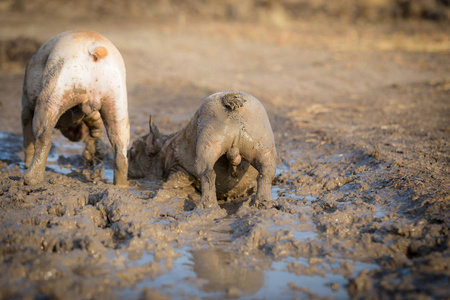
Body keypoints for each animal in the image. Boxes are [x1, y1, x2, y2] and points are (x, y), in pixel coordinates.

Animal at [21, 29, 129, 185]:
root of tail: (96, 48)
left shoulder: (26, 103)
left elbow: (27, 133)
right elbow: (96, 126)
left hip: (56, 89)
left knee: (43, 135)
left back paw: (28, 180)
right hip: (117, 101)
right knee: (120, 146)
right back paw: (121, 186)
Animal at [127, 90, 278, 210]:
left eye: (132, 149)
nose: (127, 155)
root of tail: (227, 98)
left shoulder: (178, 168)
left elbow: (171, 184)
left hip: (206, 145)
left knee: (207, 174)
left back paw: (206, 206)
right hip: (260, 141)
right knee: (266, 171)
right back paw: (264, 203)